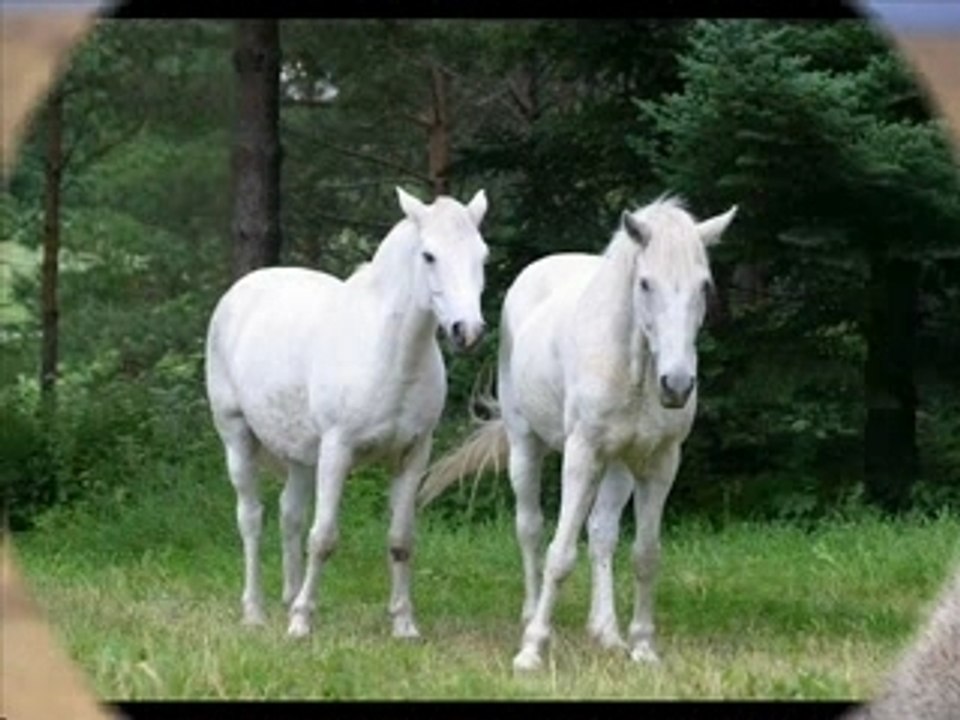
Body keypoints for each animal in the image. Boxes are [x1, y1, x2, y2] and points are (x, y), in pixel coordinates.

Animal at [205, 186, 489, 640]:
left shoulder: (414, 454)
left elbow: (401, 540)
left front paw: (404, 624)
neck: (388, 352)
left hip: (302, 457)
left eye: (483, 256)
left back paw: (287, 597)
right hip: (237, 437)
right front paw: (302, 622)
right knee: (251, 518)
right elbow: (323, 537)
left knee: (289, 515)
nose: (469, 331)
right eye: (429, 256)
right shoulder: (337, 451)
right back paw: (255, 612)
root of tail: (240, 291)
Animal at [419, 195, 736, 671]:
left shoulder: (660, 463)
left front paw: (643, 647)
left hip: (618, 466)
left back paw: (606, 633)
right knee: (530, 529)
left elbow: (645, 555)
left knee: (602, 535)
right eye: (645, 284)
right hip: (526, 447)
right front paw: (532, 650)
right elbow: (559, 553)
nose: (677, 385)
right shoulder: (582, 456)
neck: (633, 368)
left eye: (704, 286)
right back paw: (531, 614)